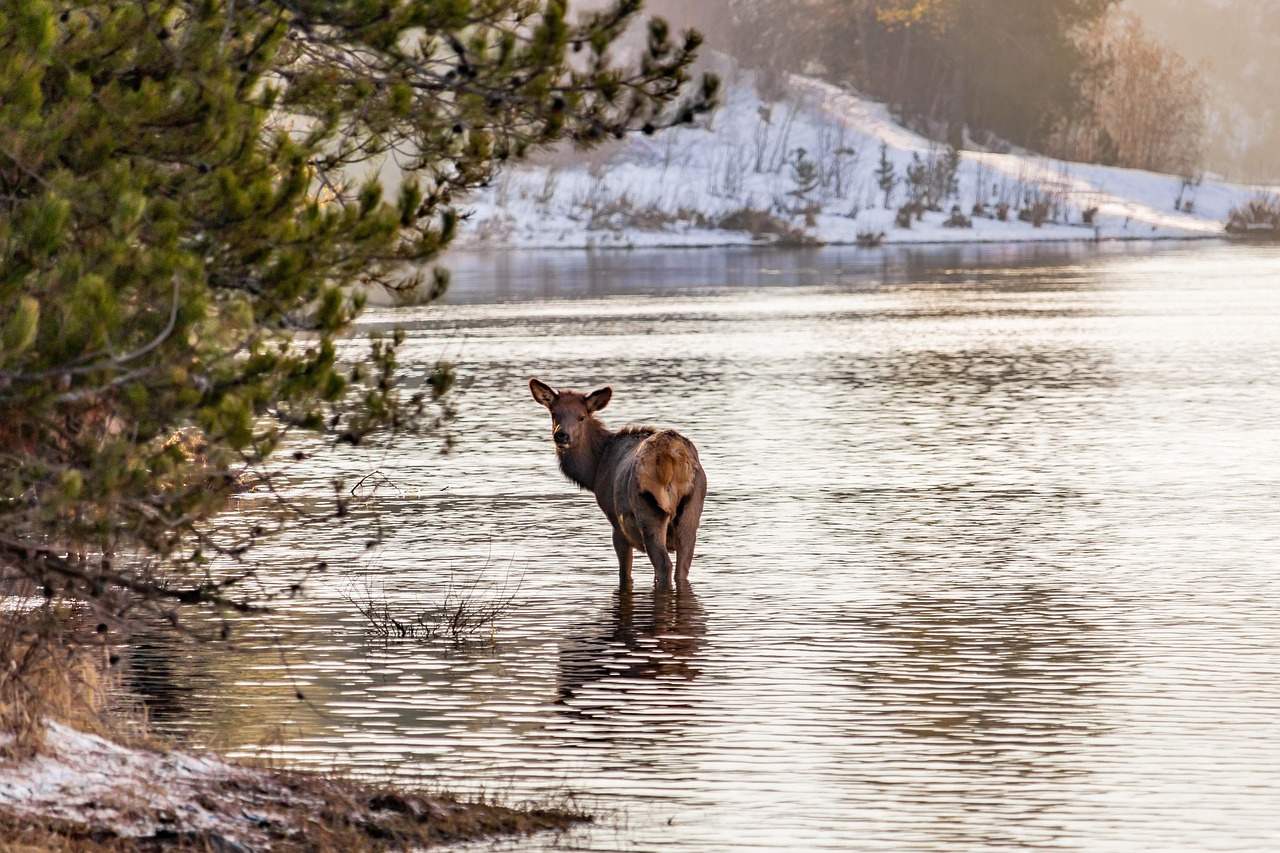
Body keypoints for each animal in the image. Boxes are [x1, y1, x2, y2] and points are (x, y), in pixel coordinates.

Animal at [529, 378, 706, 592]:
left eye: (581, 417)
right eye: (554, 414)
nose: (562, 435)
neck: (594, 472)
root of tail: (672, 455)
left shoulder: (615, 523)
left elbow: (624, 573)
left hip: (648, 510)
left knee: (664, 565)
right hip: (692, 509)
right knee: (682, 567)